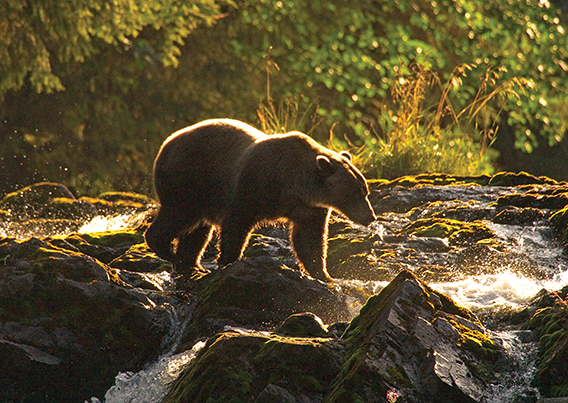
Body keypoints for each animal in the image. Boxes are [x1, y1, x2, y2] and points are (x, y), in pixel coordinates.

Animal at [145, 118, 378, 282]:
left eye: (365, 190)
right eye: (357, 193)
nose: (371, 217)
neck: (292, 185)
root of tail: (166, 143)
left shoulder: (309, 209)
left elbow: (310, 239)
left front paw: (324, 274)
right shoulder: (253, 184)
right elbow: (236, 222)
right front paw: (229, 260)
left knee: (198, 232)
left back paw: (191, 264)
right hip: (188, 181)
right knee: (180, 215)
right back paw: (165, 249)